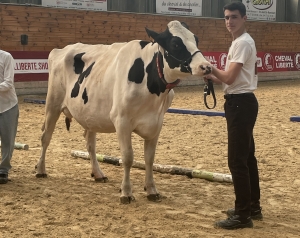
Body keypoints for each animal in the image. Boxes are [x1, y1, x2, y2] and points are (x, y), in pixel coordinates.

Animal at [35, 20, 211, 204]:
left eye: (196, 39)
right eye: (175, 43)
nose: (206, 66)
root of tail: (60, 50)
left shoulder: (156, 123)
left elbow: (149, 159)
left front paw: (152, 190)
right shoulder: (122, 121)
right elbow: (127, 158)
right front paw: (126, 192)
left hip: (90, 114)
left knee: (90, 144)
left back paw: (98, 173)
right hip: (52, 104)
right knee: (45, 137)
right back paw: (40, 170)